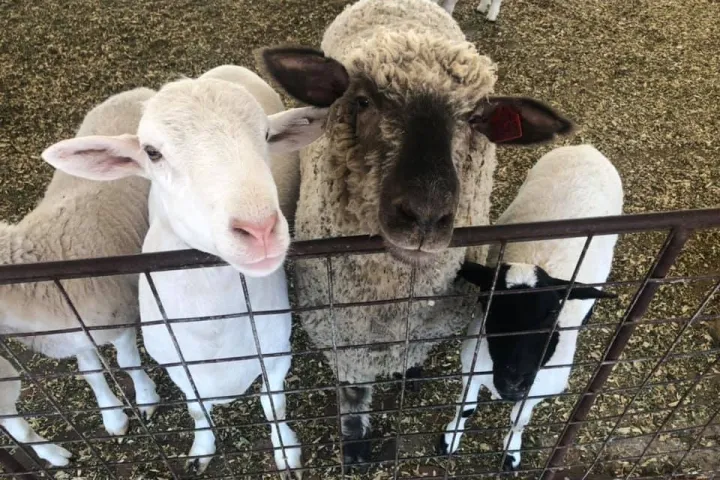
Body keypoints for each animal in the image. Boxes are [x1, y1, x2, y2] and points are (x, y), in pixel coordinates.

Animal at [0, 87, 160, 448]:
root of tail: (138, 92)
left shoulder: (121, 315)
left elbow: (128, 363)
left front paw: (146, 398)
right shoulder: (74, 333)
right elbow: (90, 373)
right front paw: (113, 416)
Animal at [42, 65, 329, 476]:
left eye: (266, 136)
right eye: (152, 153)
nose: (259, 229)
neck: (214, 330)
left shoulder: (277, 353)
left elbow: (273, 404)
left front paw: (286, 452)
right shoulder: (177, 365)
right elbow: (196, 411)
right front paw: (201, 451)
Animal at [259, 0, 575, 465]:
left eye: (476, 118)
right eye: (363, 100)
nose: (425, 215)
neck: (392, 306)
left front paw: (411, 373)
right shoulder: (343, 337)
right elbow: (354, 393)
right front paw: (355, 445)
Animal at [440, 145, 624, 470]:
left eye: (552, 312)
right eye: (488, 304)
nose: (513, 382)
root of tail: (586, 148)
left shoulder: (539, 390)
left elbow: (519, 420)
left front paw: (511, 452)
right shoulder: (471, 366)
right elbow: (466, 407)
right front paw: (451, 438)